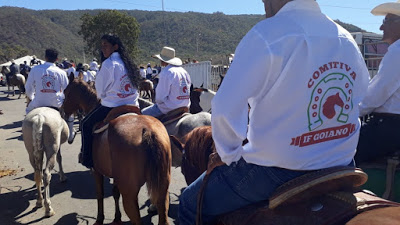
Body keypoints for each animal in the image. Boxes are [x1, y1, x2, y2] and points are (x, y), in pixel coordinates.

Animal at [61, 78, 171, 225]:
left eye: (66, 92)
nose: (63, 111)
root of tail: (147, 130)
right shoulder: (116, 176)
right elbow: (114, 192)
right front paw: (117, 218)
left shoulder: (97, 171)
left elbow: (100, 194)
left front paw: (99, 219)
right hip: (162, 189)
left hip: (130, 195)